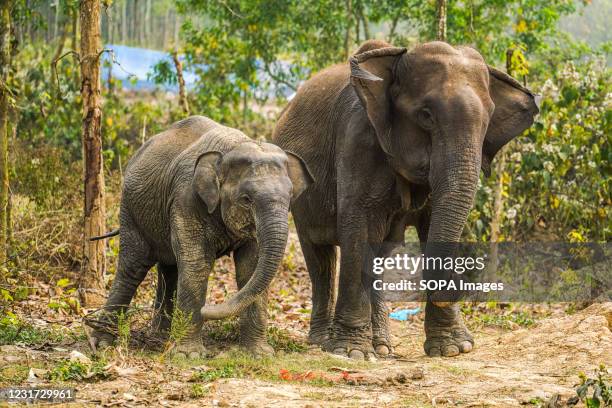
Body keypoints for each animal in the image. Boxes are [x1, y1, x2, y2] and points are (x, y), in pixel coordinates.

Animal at [91, 115, 314, 356]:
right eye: (246, 199)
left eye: (290, 197)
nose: (207, 310)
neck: (232, 148)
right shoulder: (185, 199)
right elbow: (197, 264)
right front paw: (188, 354)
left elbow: (251, 267)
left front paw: (258, 354)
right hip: (130, 211)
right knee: (132, 268)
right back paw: (103, 343)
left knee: (169, 270)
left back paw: (161, 338)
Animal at [274, 40, 536, 360]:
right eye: (426, 115)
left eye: (488, 120)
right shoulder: (357, 140)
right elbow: (358, 227)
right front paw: (351, 353)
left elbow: (431, 224)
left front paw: (453, 349)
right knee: (319, 256)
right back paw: (324, 342)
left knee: (377, 256)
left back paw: (382, 346)